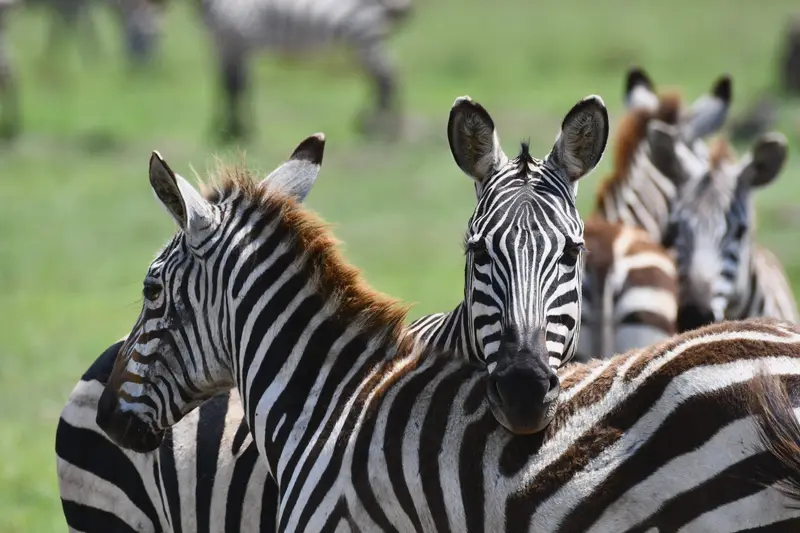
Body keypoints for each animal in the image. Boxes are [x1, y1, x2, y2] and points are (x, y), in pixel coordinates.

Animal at [191, 0, 411, 141]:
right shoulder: (225, 45)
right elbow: (233, 88)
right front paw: (229, 129)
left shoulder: (236, 40)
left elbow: (234, 88)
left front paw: (233, 131)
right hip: (362, 45)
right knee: (382, 80)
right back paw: (373, 124)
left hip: (364, 40)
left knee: (387, 79)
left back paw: (379, 127)